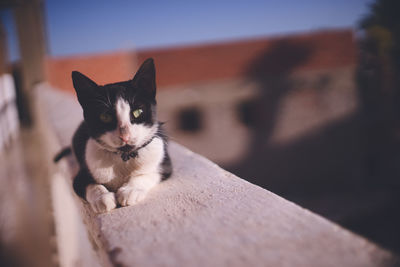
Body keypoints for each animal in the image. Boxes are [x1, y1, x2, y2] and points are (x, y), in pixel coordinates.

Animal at [53, 58, 172, 214]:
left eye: (138, 112)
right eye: (105, 116)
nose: (125, 135)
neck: (124, 158)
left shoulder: (164, 163)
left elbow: (148, 174)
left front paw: (130, 190)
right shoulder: (80, 176)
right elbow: (91, 185)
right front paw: (102, 198)